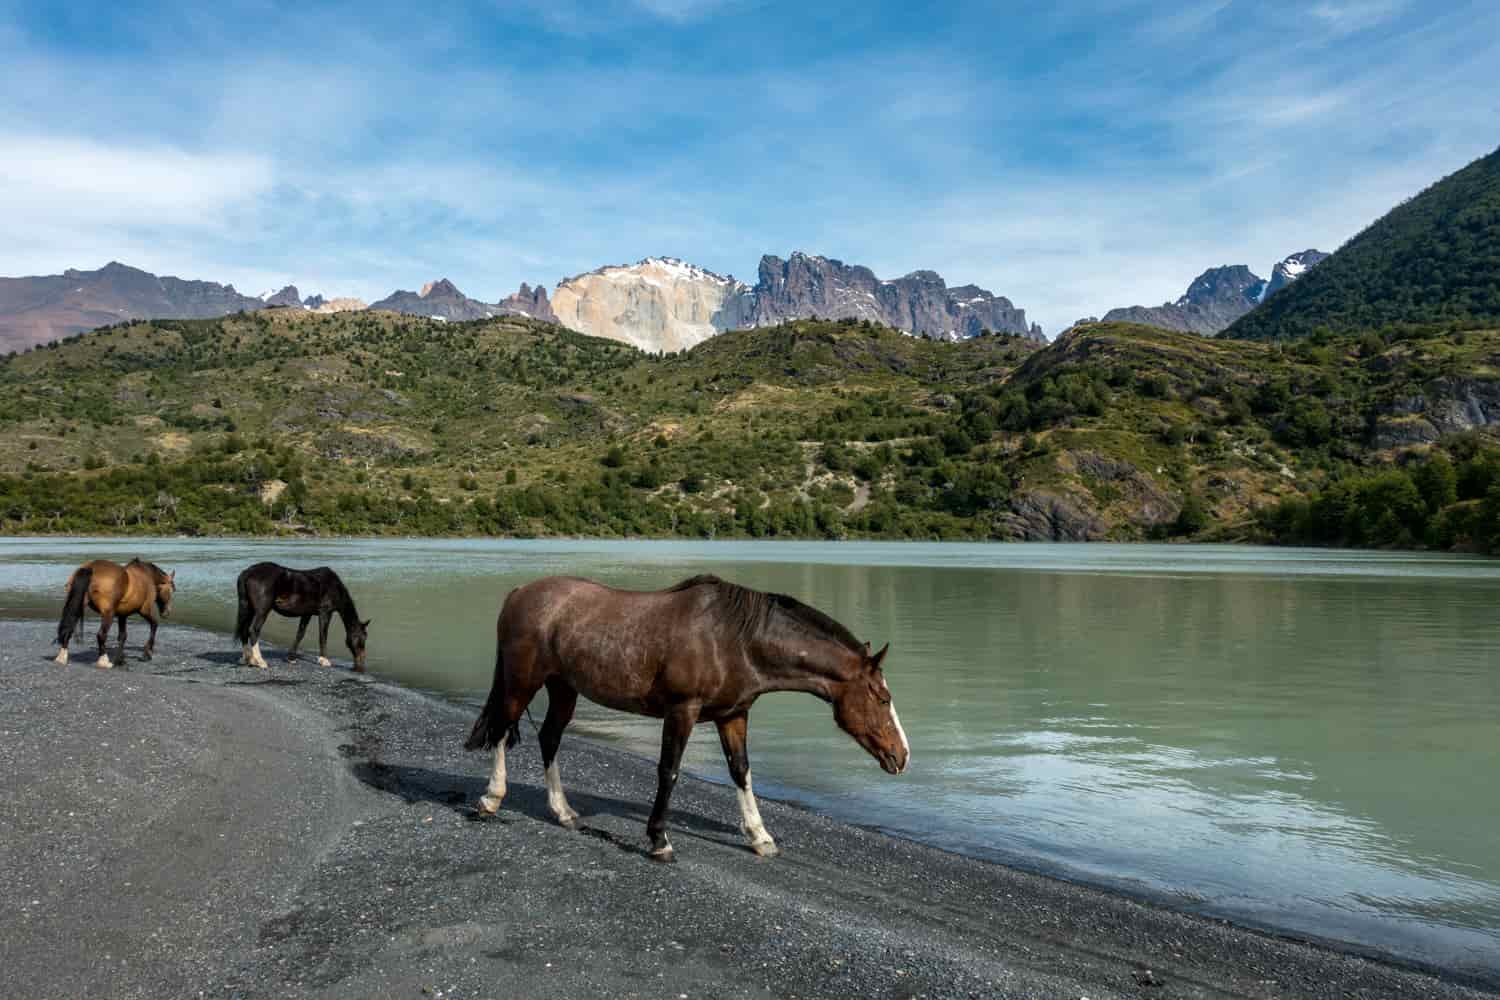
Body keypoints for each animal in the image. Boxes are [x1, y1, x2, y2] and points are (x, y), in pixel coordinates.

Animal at [234, 562, 370, 671]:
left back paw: (248, 659)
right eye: (362, 639)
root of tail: (247, 572)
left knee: (244, 631)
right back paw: (260, 661)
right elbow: (323, 635)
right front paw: (324, 660)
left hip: (249, 609)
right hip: (262, 610)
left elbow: (300, 634)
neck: (334, 586)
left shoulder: (307, 613)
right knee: (254, 631)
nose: (360, 665)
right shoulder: (325, 612)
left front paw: (291, 658)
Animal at [464, 573, 909, 862]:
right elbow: (670, 771)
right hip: (523, 682)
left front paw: (760, 836)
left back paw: (563, 811)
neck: (737, 640)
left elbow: (741, 771)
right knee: (502, 730)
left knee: (550, 738)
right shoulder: (683, 709)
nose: (901, 756)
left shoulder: (733, 715)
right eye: (883, 697)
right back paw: (491, 799)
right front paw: (659, 840)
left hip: (563, 688)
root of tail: (520, 593)